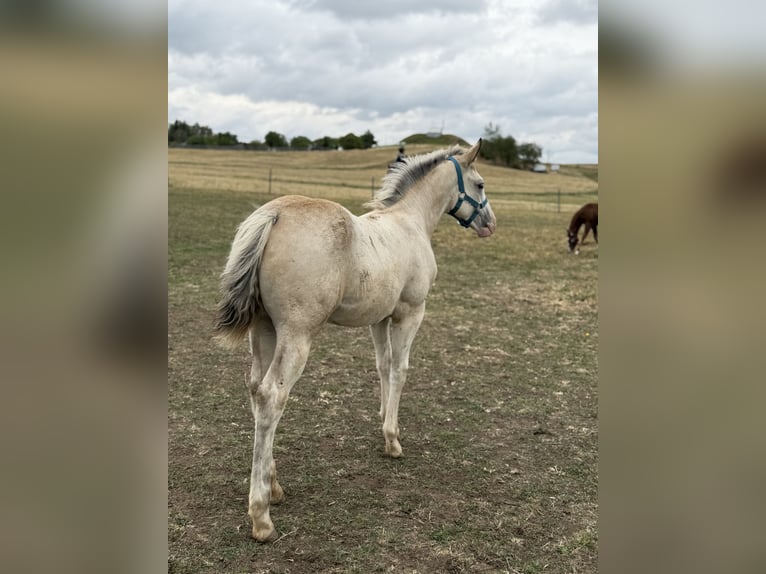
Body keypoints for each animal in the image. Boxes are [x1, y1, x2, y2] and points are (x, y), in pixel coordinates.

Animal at [214, 140, 496, 542]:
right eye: (481, 184)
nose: (490, 224)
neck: (410, 222)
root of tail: (274, 214)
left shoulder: (378, 319)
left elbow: (382, 366)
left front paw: (382, 418)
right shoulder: (411, 313)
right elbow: (400, 369)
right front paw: (392, 440)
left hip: (264, 330)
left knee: (254, 389)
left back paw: (274, 484)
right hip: (296, 336)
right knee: (271, 397)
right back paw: (261, 516)